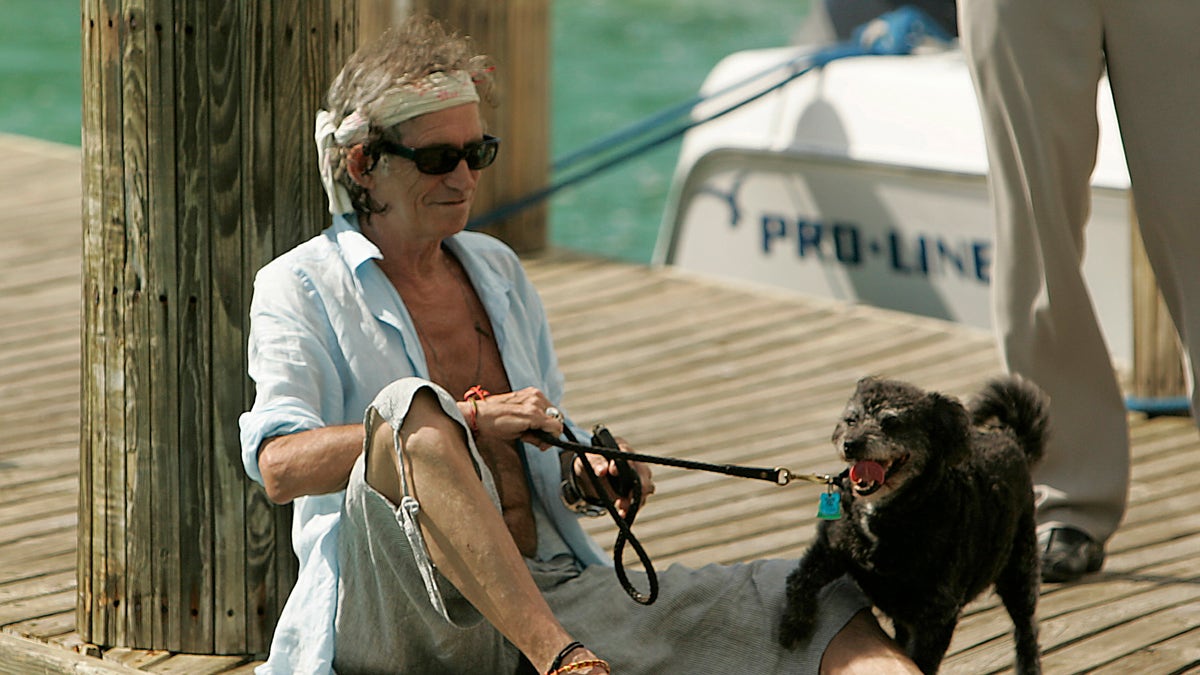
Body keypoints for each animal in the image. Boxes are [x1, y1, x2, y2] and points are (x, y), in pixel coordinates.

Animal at [782, 372, 1046, 672]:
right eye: (851, 420)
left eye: (891, 422)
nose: (850, 445)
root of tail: (1010, 436)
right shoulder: (832, 550)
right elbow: (800, 578)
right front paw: (794, 625)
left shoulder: (935, 616)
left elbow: (920, 662)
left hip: (1019, 570)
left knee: (1026, 628)